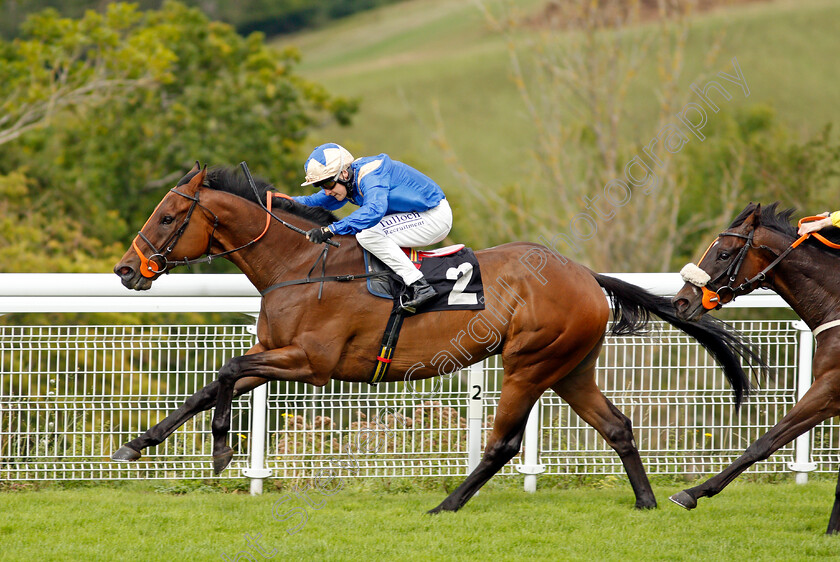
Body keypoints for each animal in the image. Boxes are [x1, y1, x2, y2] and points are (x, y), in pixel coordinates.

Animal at [110, 163, 760, 512]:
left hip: (528, 363)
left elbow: (223, 373)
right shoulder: (278, 355)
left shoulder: (308, 363)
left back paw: (447, 503)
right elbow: (208, 385)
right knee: (618, 426)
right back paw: (647, 501)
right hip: (570, 367)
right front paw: (137, 445)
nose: (125, 270)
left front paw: (221, 449)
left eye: (167, 217)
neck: (300, 264)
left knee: (503, 444)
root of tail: (583, 274)